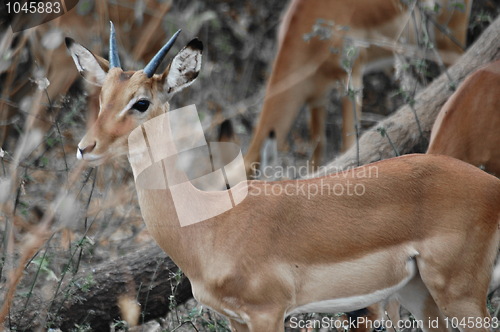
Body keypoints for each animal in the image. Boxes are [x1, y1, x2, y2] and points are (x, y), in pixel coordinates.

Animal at [67, 24, 500, 330]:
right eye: (102, 97)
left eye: (141, 102)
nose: (85, 147)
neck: (209, 223)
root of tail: (491, 187)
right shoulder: (236, 320)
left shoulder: (267, 313)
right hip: (419, 293)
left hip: (460, 295)